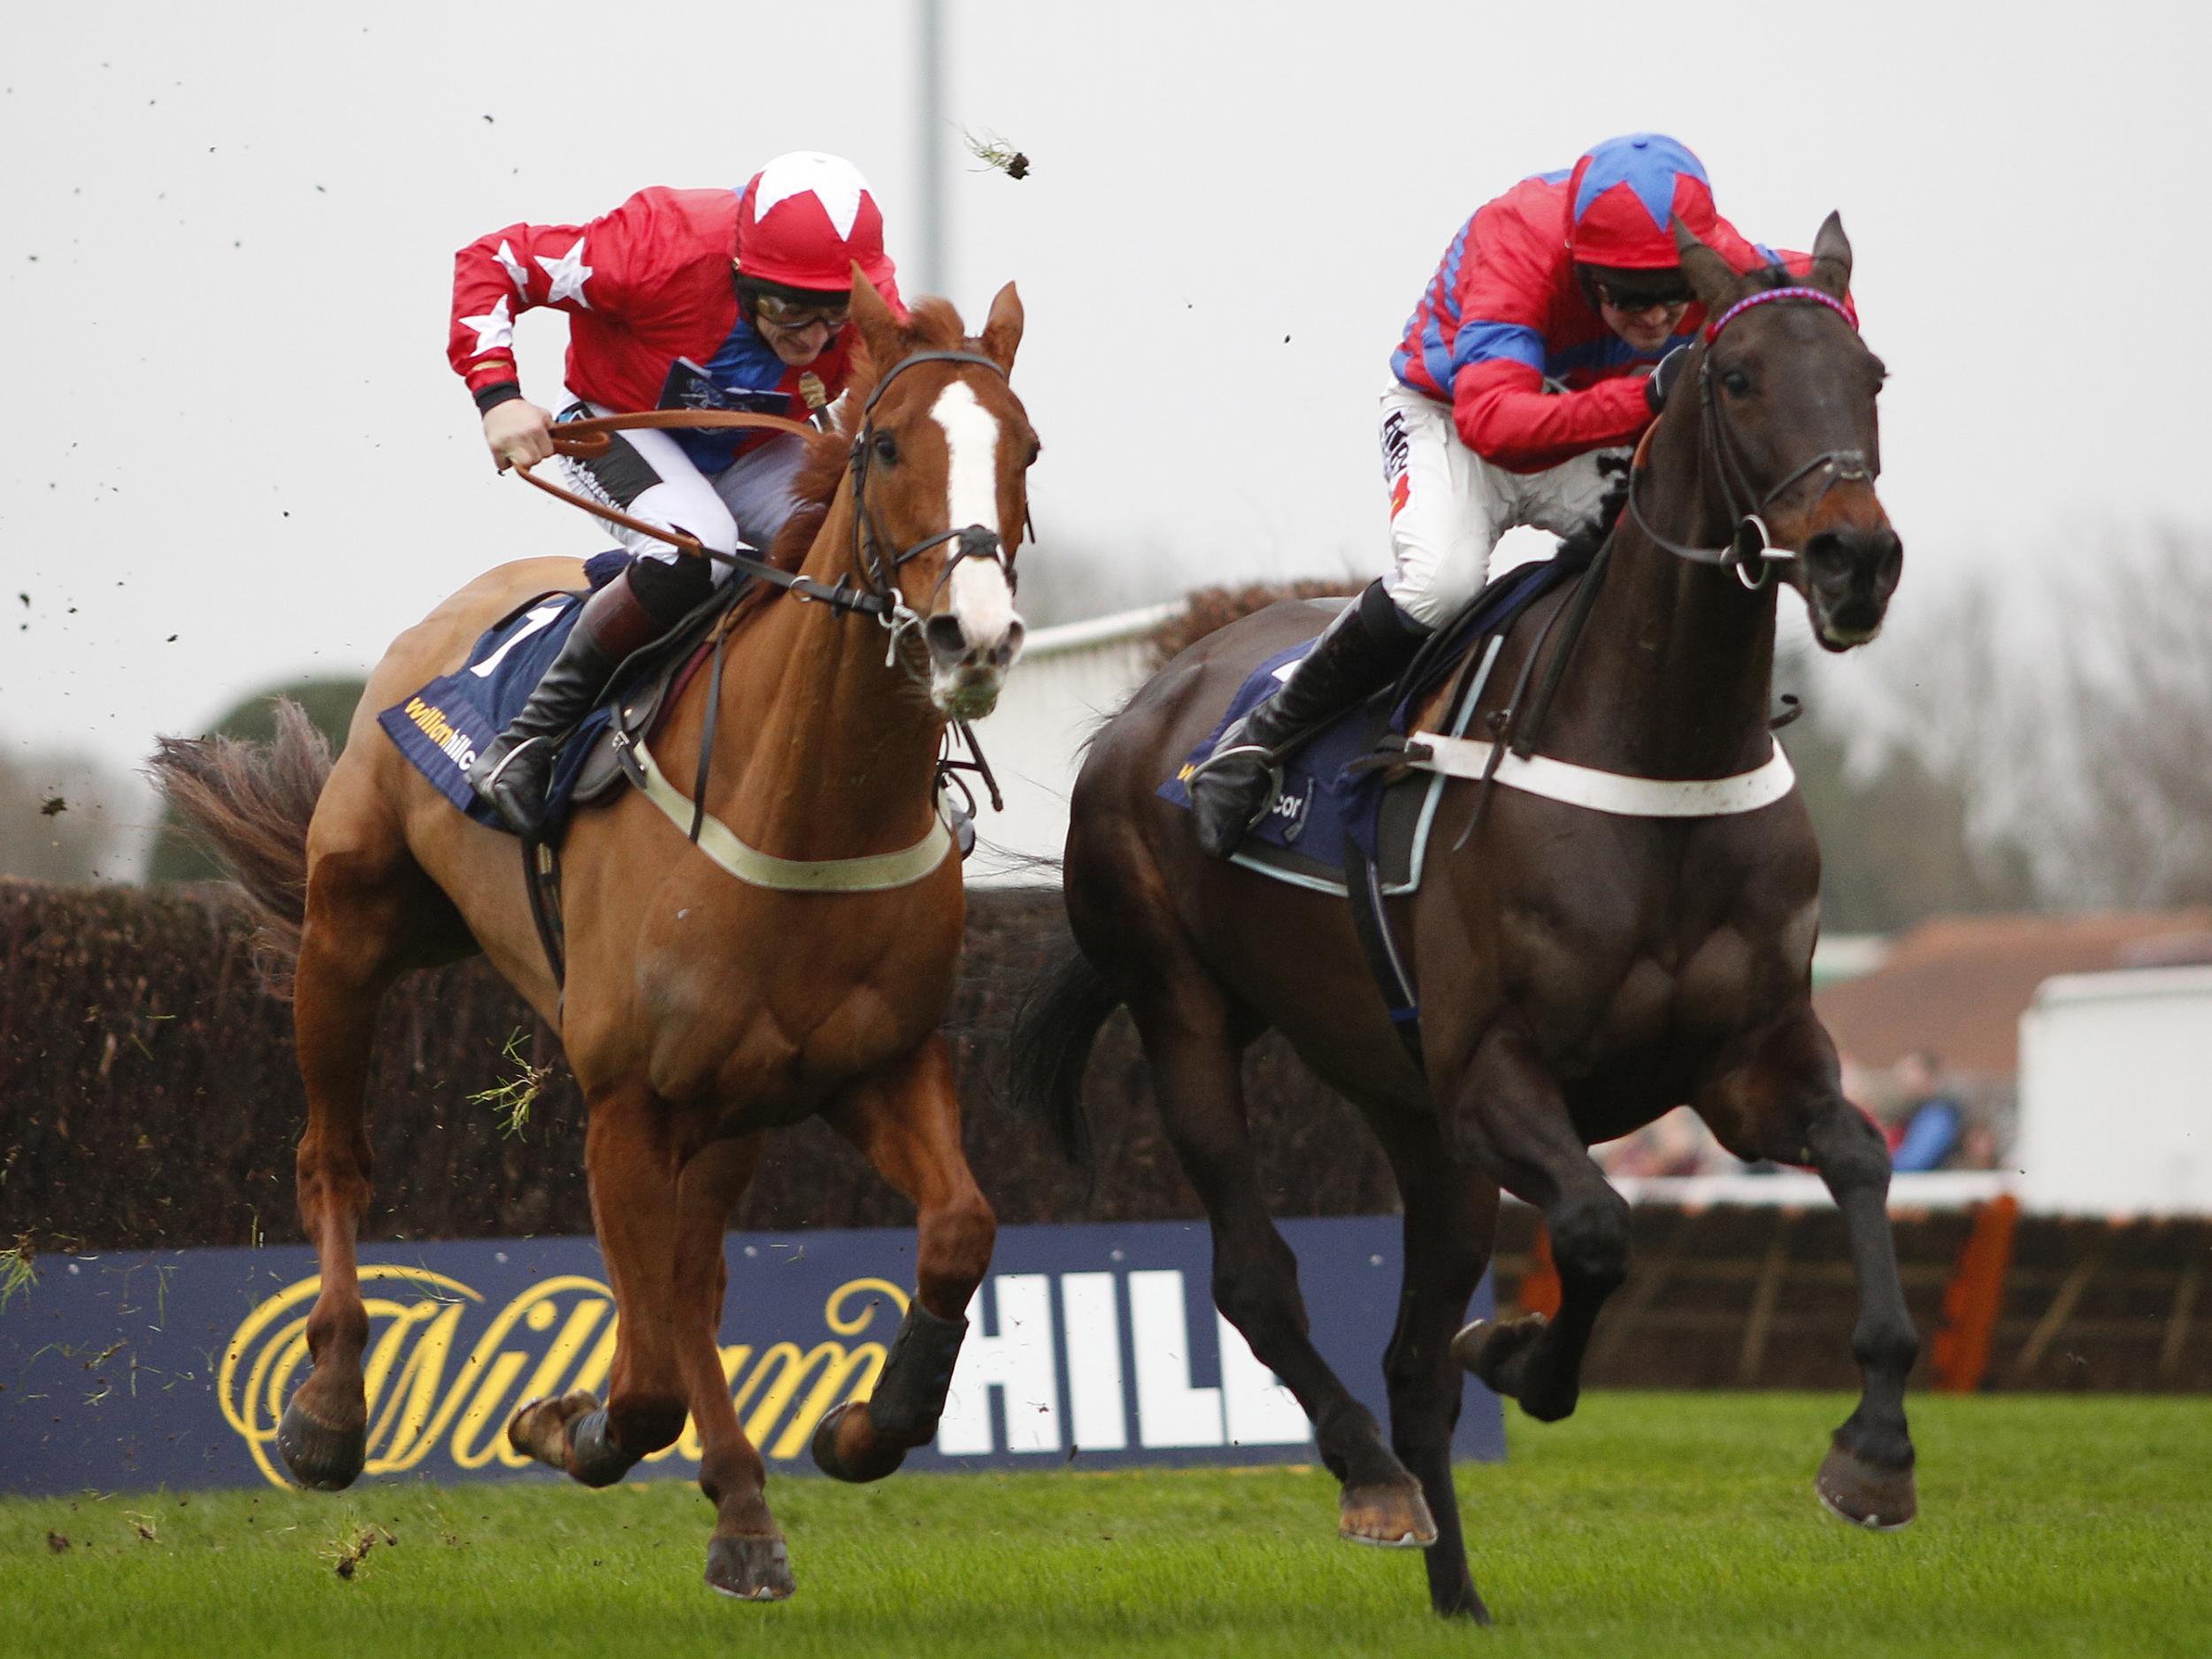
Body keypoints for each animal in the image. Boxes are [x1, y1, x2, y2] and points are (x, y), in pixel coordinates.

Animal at [160, 280, 1040, 1601]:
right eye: (887, 447)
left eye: (1026, 449)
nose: (970, 636)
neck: (803, 811)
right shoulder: (625, 1101)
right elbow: (643, 1379)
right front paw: (558, 1422)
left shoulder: (876, 1065)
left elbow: (954, 1232)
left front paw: (860, 1425)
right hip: (350, 929)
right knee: (335, 1159)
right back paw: (328, 1407)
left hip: (732, 1105)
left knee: (694, 1275)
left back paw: (744, 1510)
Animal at [1013, 211, 1911, 1628]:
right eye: (1737, 378)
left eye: (1870, 375)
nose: (1853, 559)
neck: (1656, 755)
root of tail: (1145, 706)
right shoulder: (1497, 1074)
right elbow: (1597, 1229)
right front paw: (1525, 1356)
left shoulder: (1745, 1063)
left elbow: (1862, 1158)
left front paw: (1873, 1450)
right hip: (1187, 1015)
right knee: (1254, 1277)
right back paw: (1376, 1481)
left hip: (1413, 1120)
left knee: (1408, 1360)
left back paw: (1457, 1590)